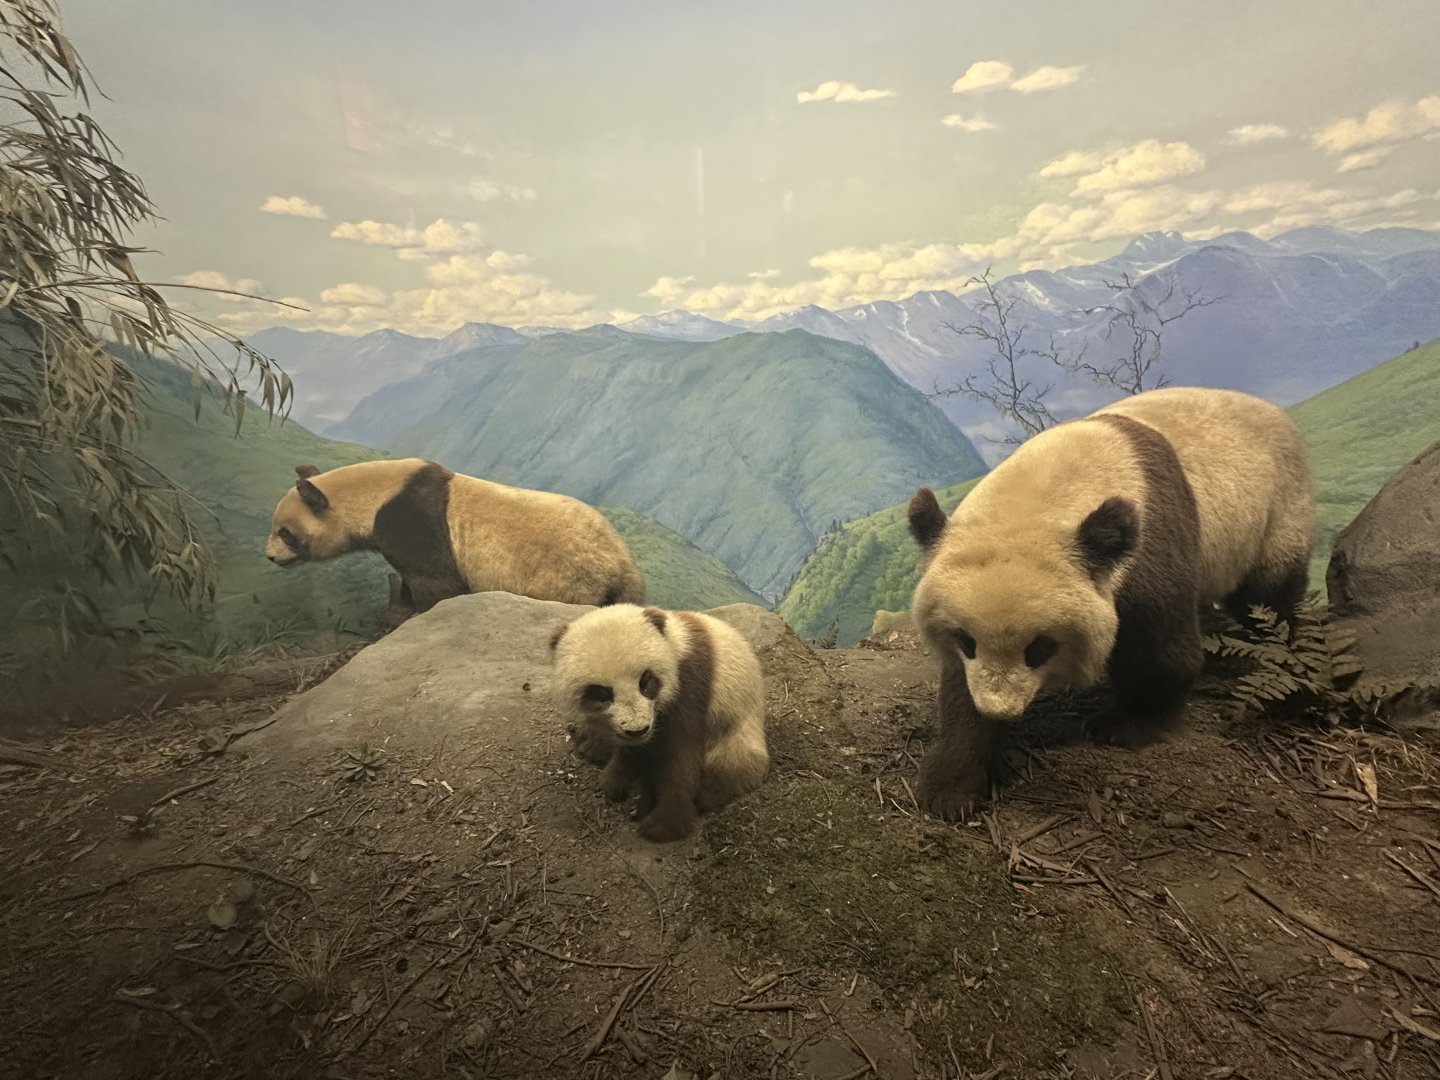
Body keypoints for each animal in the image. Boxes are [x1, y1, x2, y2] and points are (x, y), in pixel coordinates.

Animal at [265, 458, 646, 621]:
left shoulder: (409, 519)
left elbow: (439, 583)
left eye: (285, 532)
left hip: (564, 578)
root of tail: (621, 566)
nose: (270, 556)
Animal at [548, 603, 770, 843]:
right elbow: (636, 751)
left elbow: (680, 752)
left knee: (732, 764)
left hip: (735, 725)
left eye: (645, 681)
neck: (674, 644)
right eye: (602, 693)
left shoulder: (691, 682)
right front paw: (615, 781)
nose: (637, 730)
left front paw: (663, 825)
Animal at [905, 386, 1315, 822]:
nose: (999, 709)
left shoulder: (1146, 544)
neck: (1037, 497)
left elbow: (1159, 649)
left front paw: (1124, 725)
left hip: (1279, 506)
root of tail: (1271, 409)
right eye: (966, 641)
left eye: (1040, 648)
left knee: (1268, 594)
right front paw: (951, 787)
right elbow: (959, 688)